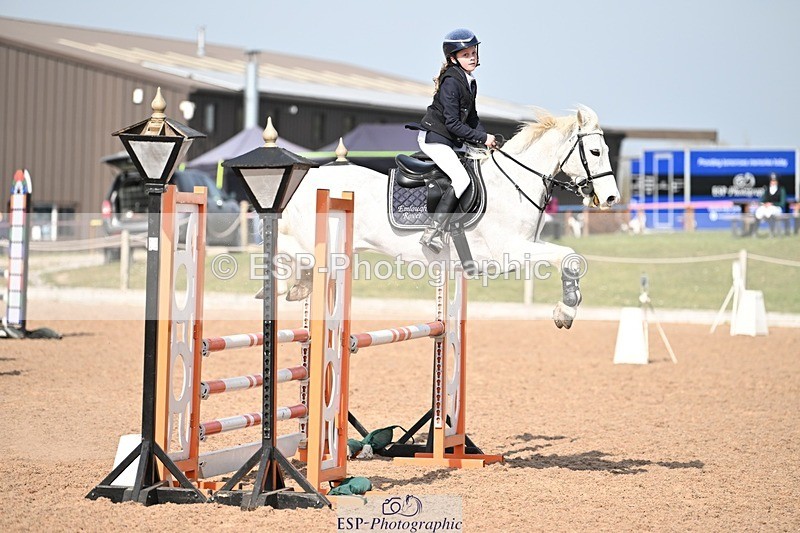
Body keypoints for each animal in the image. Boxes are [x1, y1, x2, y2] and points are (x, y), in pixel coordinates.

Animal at [277, 105, 620, 328]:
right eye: (595, 152)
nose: (611, 198)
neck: (513, 183)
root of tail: (310, 178)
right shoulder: (510, 252)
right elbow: (568, 257)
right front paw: (567, 309)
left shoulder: (525, 247)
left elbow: (570, 257)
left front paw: (567, 308)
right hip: (316, 241)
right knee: (290, 252)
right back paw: (289, 285)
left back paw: (294, 286)